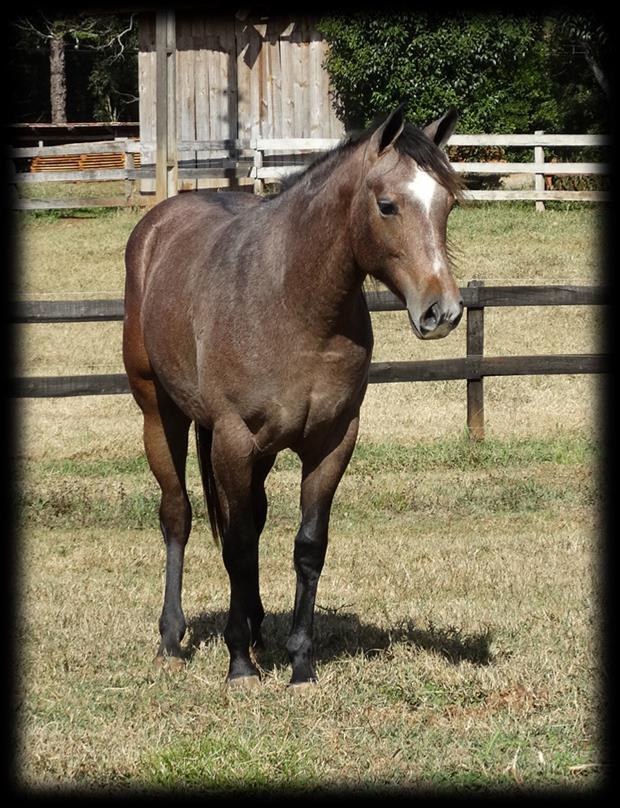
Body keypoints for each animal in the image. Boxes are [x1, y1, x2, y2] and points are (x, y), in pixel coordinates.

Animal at [122, 105, 464, 688]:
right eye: (388, 205)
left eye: (447, 202)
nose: (441, 312)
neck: (293, 303)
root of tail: (156, 226)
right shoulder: (234, 440)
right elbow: (236, 546)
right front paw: (239, 664)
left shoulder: (331, 442)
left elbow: (307, 546)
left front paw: (299, 663)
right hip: (159, 415)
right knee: (178, 516)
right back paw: (173, 637)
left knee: (253, 520)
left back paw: (257, 628)